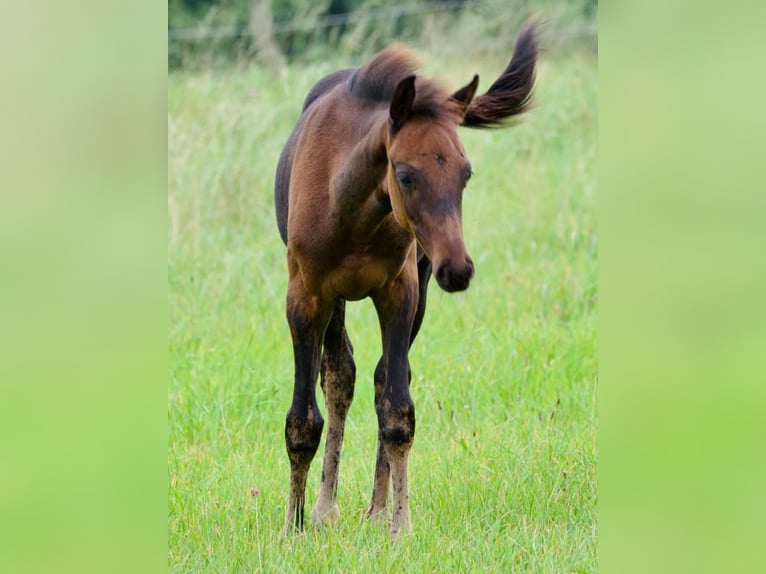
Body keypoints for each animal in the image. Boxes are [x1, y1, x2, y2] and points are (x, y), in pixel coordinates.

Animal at [274, 20, 540, 536]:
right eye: (405, 173)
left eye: (466, 172)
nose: (458, 269)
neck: (351, 206)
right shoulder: (306, 295)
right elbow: (303, 419)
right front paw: (292, 528)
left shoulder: (400, 291)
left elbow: (397, 409)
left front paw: (400, 526)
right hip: (336, 301)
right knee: (340, 375)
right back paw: (324, 509)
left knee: (379, 380)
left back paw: (375, 511)